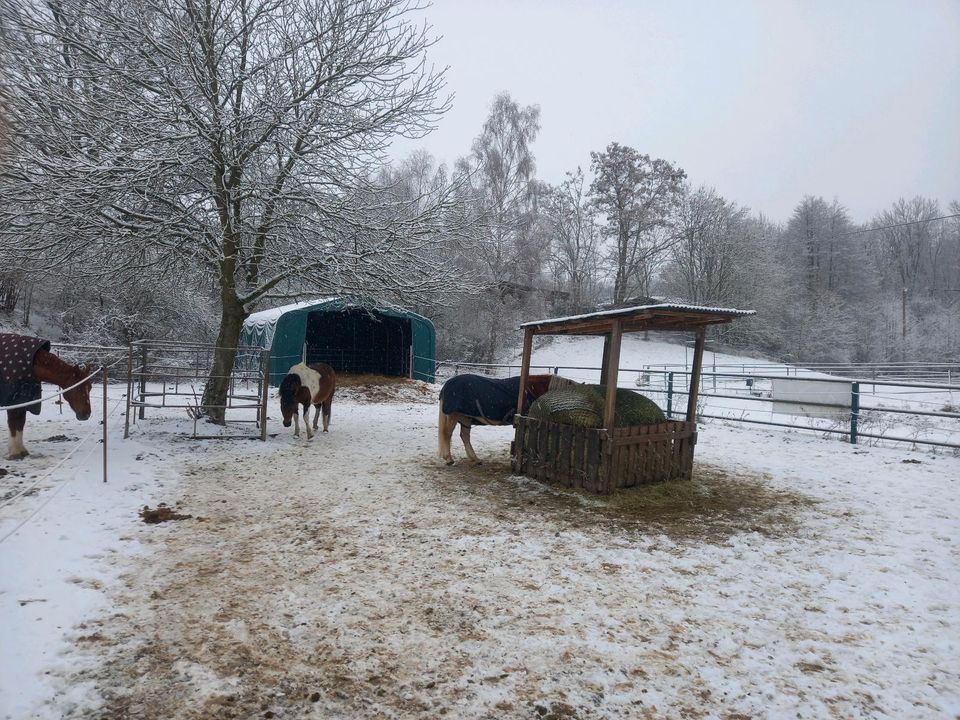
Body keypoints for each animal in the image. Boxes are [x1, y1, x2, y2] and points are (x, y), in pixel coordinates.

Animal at [0, 334, 94, 462]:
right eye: (77, 388)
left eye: (90, 388)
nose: (86, 414)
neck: (31, 363)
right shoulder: (14, 401)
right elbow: (14, 423)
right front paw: (15, 452)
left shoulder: (24, 401)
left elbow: (20, 423)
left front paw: (22, 451)